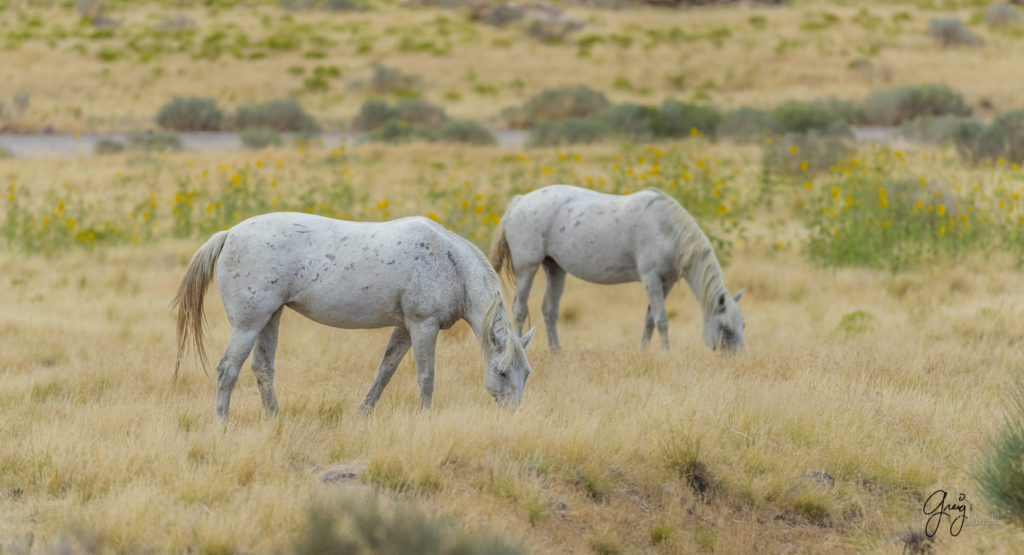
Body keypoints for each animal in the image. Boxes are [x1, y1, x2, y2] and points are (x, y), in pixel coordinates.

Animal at [172, 212, 536, 421]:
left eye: (526, 374)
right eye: (502, 372)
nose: (513, 414)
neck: (450, 263)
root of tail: (230, 233)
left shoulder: (404, 328)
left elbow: (385, 371)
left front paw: (363, 411)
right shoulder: (423, 325)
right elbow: (426, 377)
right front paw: (424, 417)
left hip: (270, 318)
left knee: (262, 369)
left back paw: (276, 419)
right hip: (248, 325)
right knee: (227, 370)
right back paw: (221, 422)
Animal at [489, 186, 745, 352]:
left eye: (742, 325)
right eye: (725, 327)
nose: (737, 360)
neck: (667, 229)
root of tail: (520, 201)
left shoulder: (666, 283)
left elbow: (649, 319)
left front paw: (644, 352)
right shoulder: (651, 279)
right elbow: (661, 319)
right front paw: (666, 354)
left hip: (555, 269)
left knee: (549, 310)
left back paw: (556, 351)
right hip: (527, 269)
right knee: (519, 309)